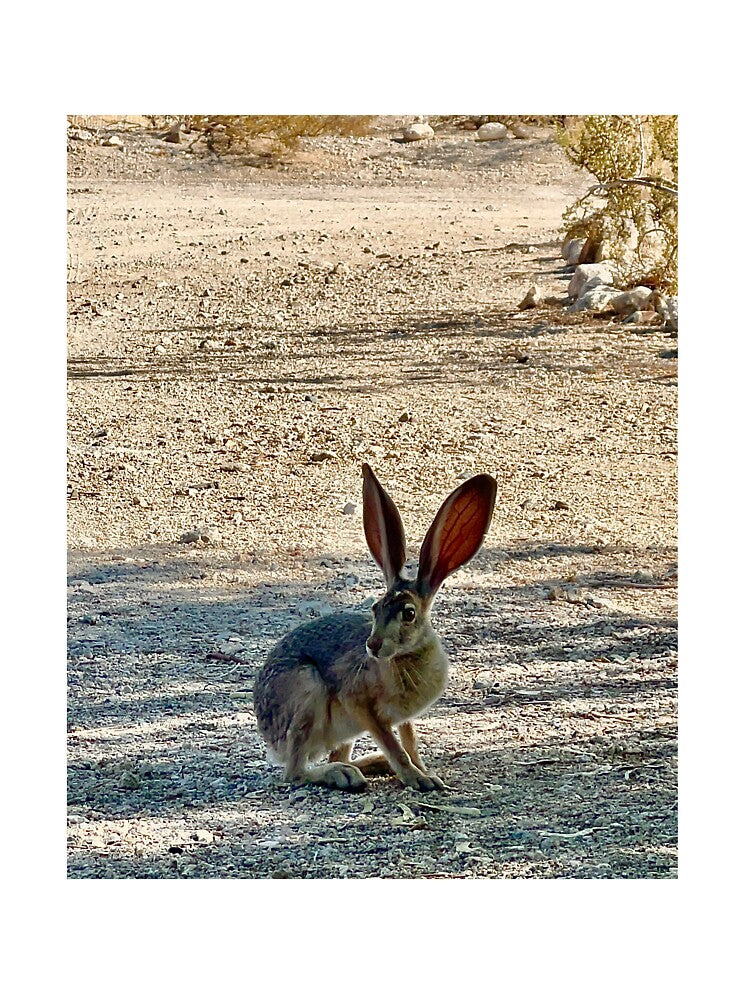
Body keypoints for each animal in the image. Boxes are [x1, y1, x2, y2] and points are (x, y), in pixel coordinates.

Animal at [253, 463, 497, 792]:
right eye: (375, 609)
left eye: (409, 614)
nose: (373, 645)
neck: (403, 657)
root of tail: (269, 736)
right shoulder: (360, 704)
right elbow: (394, 745)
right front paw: (417, 779)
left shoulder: (403, 718)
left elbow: (409, 742)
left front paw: (426, 772)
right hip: (307, 695)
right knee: (295, 772)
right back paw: (342, 774)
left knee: (332, 756)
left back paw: (369, 765)